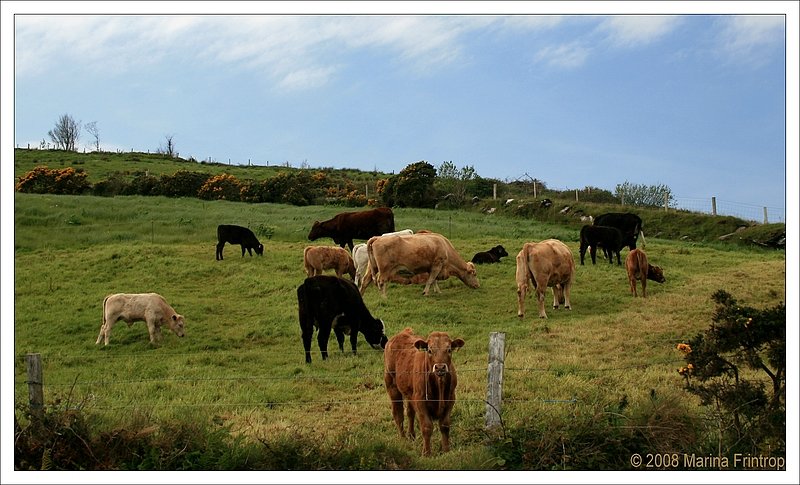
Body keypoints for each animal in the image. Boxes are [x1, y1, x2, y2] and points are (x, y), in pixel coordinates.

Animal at [384, 326, 466, 454]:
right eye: (430, 350)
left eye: (449, 350)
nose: (440, 367)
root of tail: (403, 333)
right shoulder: (420, 401)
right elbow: (427, 427)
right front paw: (426, 452)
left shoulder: (450, 399)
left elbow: (445, 425)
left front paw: (446, 450)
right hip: (392, 386)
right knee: (398, 414)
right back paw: (403, 439)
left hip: (409, 393)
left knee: (410, 413)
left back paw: (411, 435)